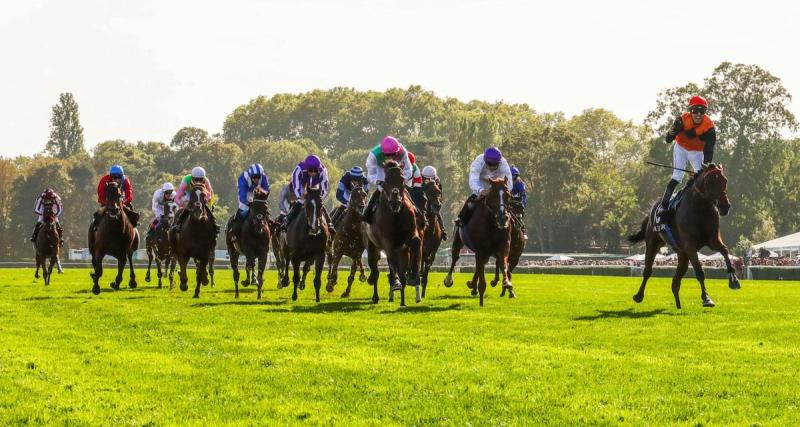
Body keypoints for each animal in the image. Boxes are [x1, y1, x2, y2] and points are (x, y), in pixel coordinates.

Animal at [364, 161, 422, 308]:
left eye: (402, 180)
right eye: (386, 181)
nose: (395, 202)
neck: (395, 214)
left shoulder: (410, 234)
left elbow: (416, 241)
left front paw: (413, 275)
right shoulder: (386, 239)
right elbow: (391, 260)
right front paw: (395, 283)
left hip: (401, 251)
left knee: (401, 272)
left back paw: (402, 300)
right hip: (372, 246)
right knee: (376, 269)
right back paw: (376, 295)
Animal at [628, 162, 740, 310]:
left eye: (725, 180)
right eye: (708, 182)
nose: (724, 206)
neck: (700, 208)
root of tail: (653, 208)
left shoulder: (713, 240)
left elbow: (725, 251)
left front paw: (734, 280)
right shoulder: (690, 247)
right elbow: (700, 272)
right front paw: (706, 298)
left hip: (682, 253)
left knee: (675, 281)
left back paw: (678, 304)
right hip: (653, 243)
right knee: (648, 271)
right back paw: (638, 296)